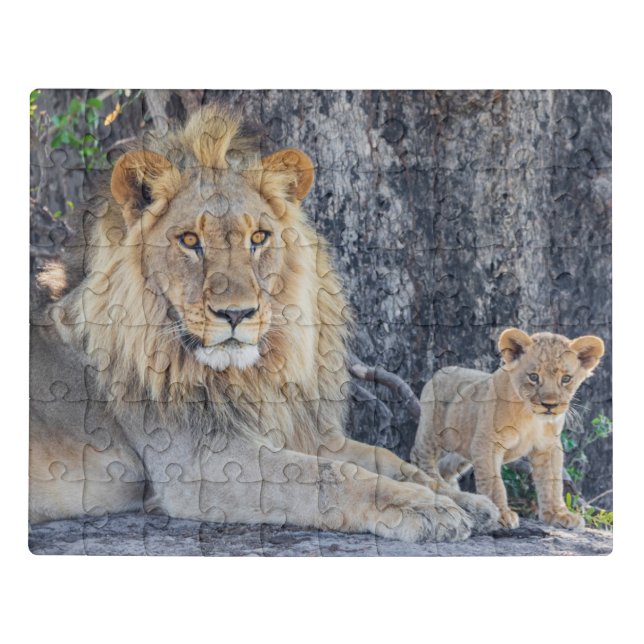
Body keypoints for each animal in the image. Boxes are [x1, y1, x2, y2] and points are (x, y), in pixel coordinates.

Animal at [30, 104, 499, 545]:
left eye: (258, 238)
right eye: (189, 241)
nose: (236, 314)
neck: (249, 376)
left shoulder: (300, 433)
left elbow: (388, 459)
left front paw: (465, 500)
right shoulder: (201, 464)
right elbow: (330, 476)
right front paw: (425, 508)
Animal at [410, 328, 604, 529]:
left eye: (566, 379)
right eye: (533, 377)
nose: (549, 405)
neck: (531, 417)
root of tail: (440, 372)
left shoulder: (549, 446)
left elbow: (552, 481)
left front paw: (557, 514)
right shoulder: (487, 443)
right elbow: (494, 482)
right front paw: (501, 514)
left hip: (461, 450)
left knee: (446, 466)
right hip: (434, 433)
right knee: (419, 456)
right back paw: (435, 483)